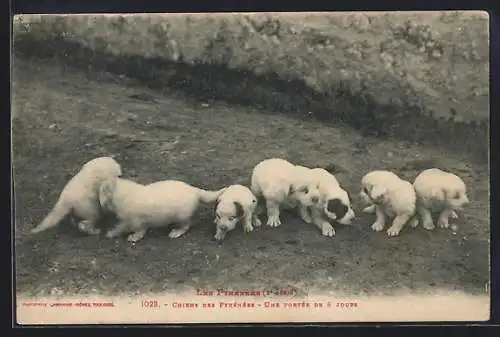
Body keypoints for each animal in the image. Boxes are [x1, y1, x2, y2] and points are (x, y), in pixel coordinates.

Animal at [98, 176, 227, 242]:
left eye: (100, 193)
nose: (100, 204)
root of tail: (194, 190)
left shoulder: (133, 220)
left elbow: (133, 229)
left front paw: (117, 234)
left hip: (181, 216)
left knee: (186, 226)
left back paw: (175, 232)